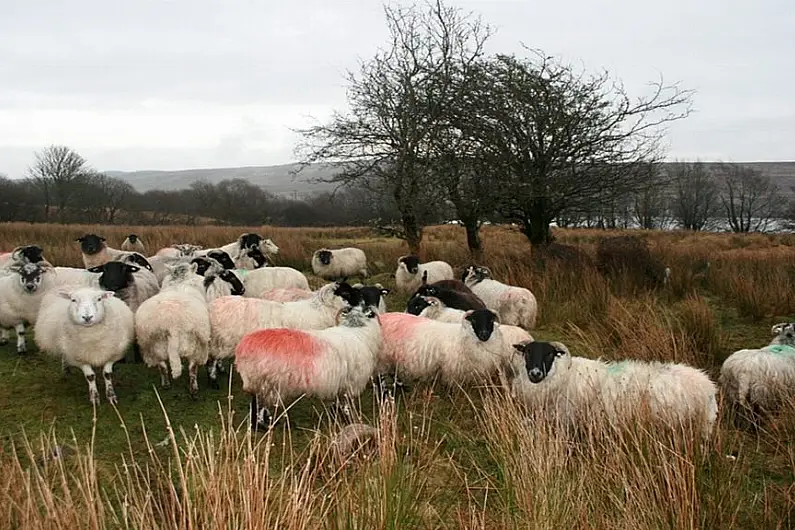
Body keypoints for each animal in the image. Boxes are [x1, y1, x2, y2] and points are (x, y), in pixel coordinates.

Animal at [135, 260, 213, 396]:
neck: (179, 282)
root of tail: (172, 323)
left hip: (155, 345)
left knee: (162, 366)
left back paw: (166, 384)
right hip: (195, 344)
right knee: (193, 367)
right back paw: (194, 389)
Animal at [208, 278, 364, 386]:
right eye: (346, 293)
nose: (363, 304)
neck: (321, 310)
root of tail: (213, 305)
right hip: (220, 341)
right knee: (212, 359)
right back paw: (213, 380)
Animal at [233, 300, 382, 426]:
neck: (357, 330)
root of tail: (243, 346)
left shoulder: (340, 383)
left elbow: (338, 402)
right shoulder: (351, 383)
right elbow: (346, 405)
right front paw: (349, 420)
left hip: (258, 381)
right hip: (266, 382)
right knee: (259, 403)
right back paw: (263, 425)